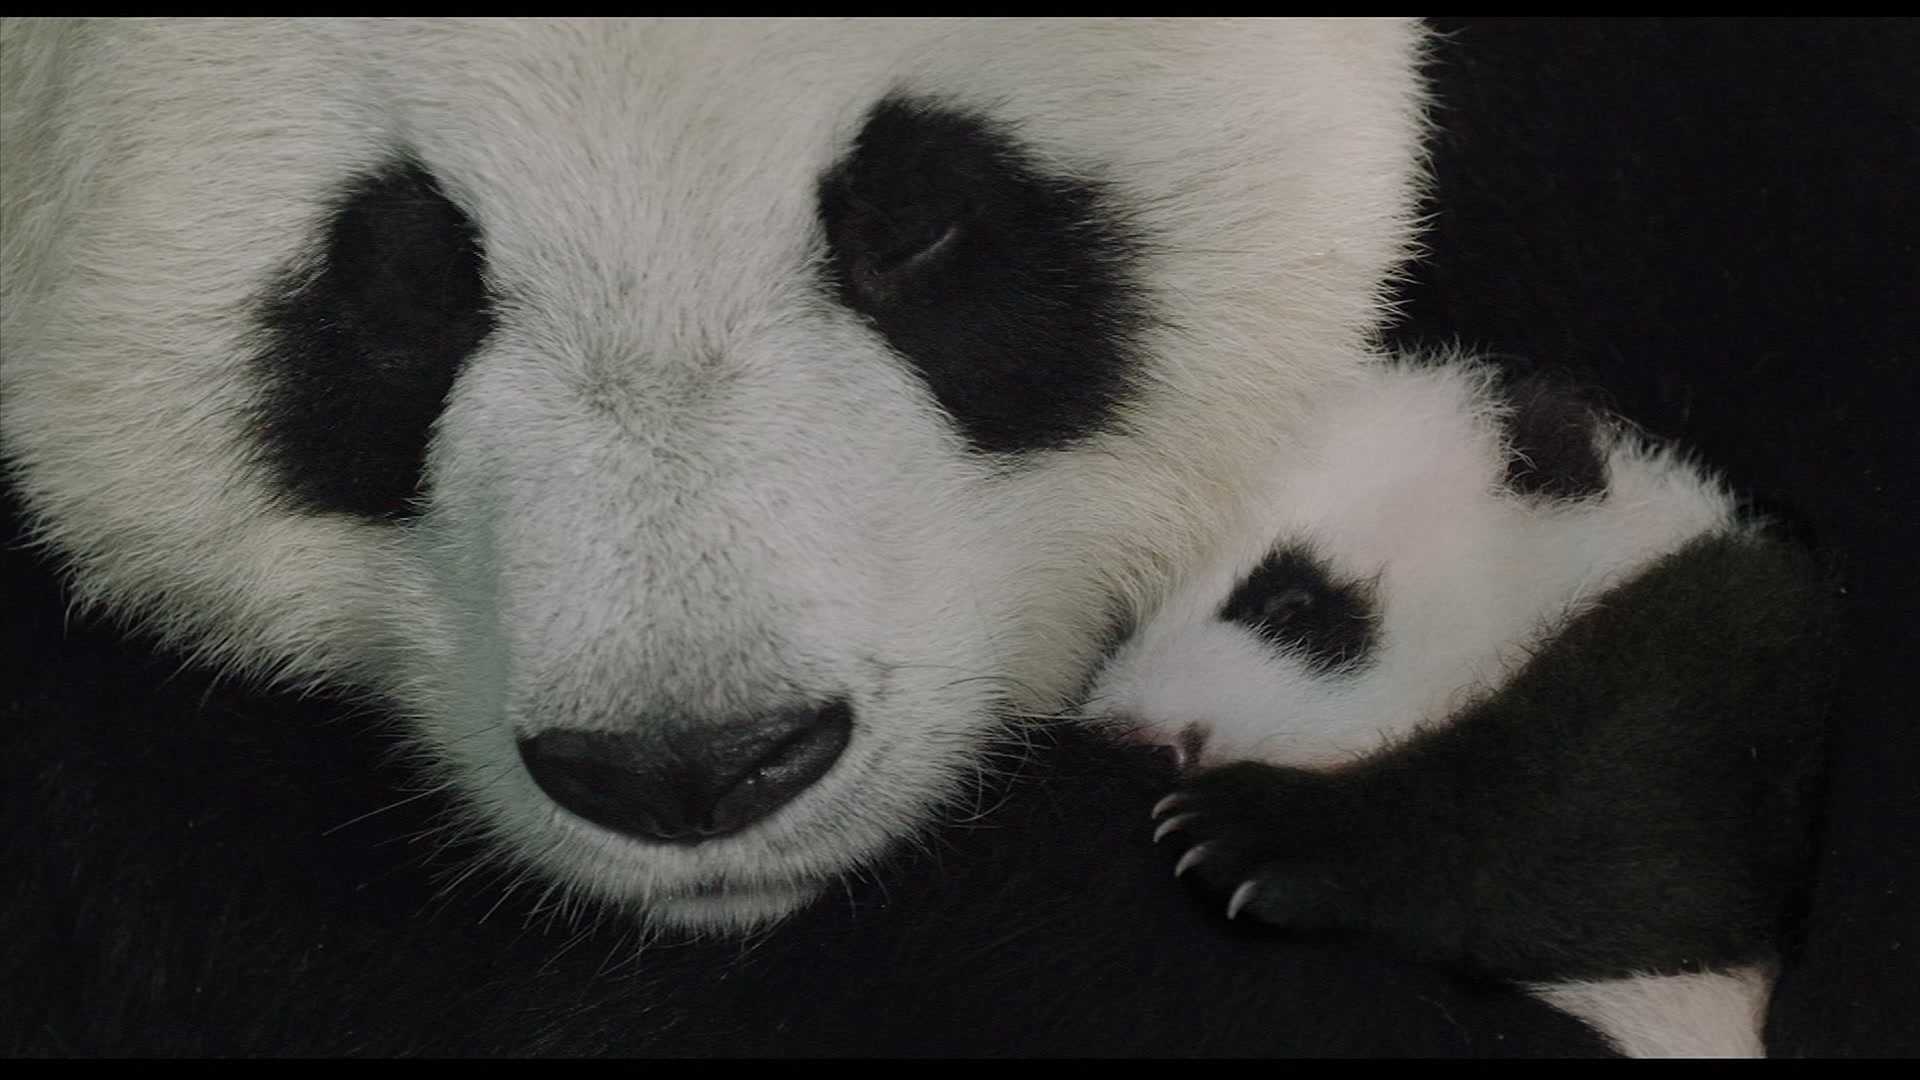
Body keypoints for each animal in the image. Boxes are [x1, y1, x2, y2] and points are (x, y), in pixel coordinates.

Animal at [1084, 356, 1834, 1056]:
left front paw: (1255, 830)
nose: (1140, 743)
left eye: (1290, 604)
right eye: (1115, 627)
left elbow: (1627, 820)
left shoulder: (1733, 658)